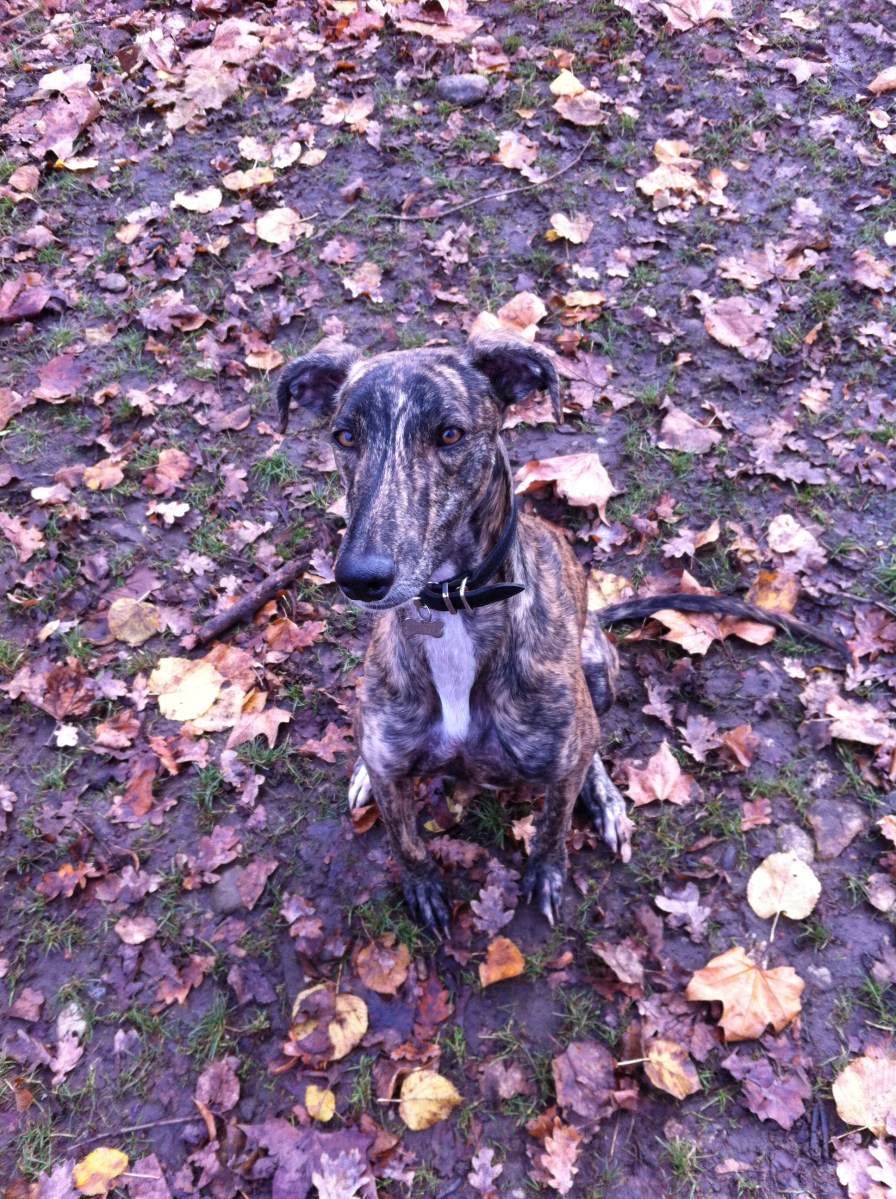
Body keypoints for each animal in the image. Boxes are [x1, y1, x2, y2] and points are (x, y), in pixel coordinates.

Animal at [277, 333, 846, 933]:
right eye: (345, 436)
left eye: (450, 434)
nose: (361, 579)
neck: (453, 610)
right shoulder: (394, 767)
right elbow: (406, 839)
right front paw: (423, 884)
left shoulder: (561, 757)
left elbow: (554, 821)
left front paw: (548, 871)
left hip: (598, 667)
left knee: (593, 741)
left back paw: (606, 799)